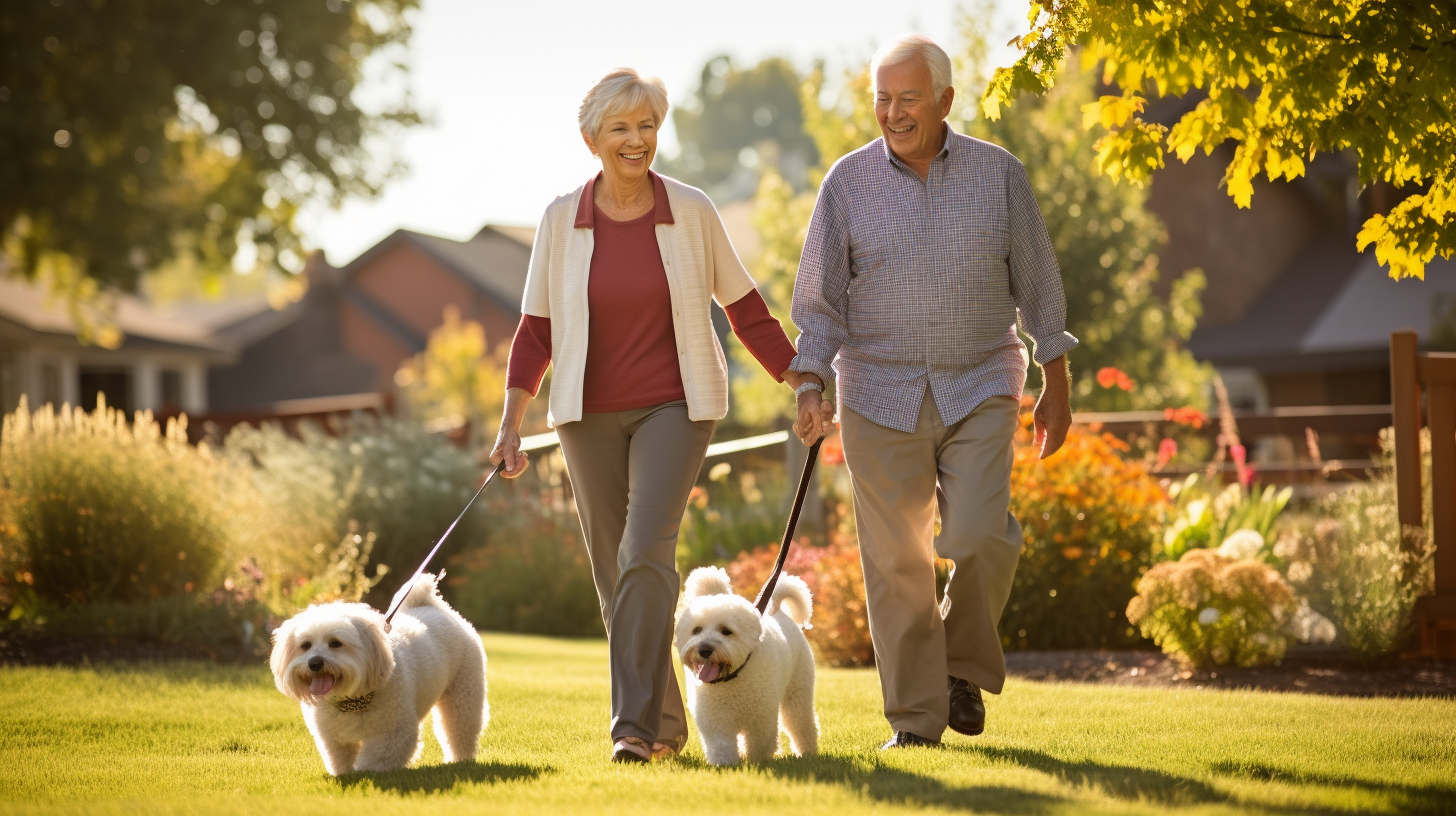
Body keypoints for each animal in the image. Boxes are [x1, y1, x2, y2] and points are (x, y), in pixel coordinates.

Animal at [264, 571, 486, 775]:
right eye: (305, 645)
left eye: (335, 643)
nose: (314, 663)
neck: (352, 700)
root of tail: (431, 605)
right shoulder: (333, 739)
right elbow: (339, 760)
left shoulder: (392, 733)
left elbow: (374, 763)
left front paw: (365, 776)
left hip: (463, 695)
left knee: (460, 729)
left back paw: (459, 760)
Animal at [672, 568, 815, 763]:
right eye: (697, 630)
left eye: (726, 631)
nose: (704, 650)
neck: (732, 677)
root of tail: (777, 609)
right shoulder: (715, 719)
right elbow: (721, 745)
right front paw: (725, 763)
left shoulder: (760, 717)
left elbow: (759, 743)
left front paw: (756, 761)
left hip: (798, 693)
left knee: (801, 724)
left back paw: (807, 752)